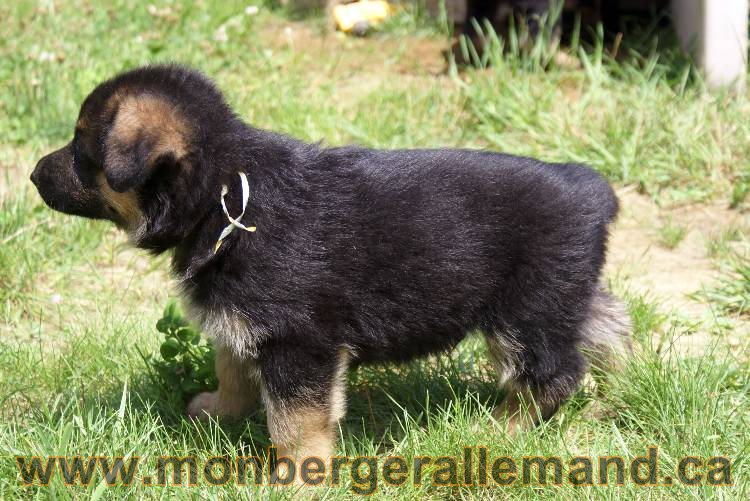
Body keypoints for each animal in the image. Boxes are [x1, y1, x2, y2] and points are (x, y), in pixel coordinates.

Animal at [30, 65, 628, 468]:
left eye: (82, 148)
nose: (34, 175)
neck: (227, 197)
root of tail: (589, 189)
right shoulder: (243, 324)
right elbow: (232, 369)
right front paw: (220, 411)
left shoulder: (298, 340)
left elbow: (294, 421)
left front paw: (297, 477)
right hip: (565, 297)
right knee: (606, 325)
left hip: (526, 312)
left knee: (553, 373)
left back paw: (502, 428)